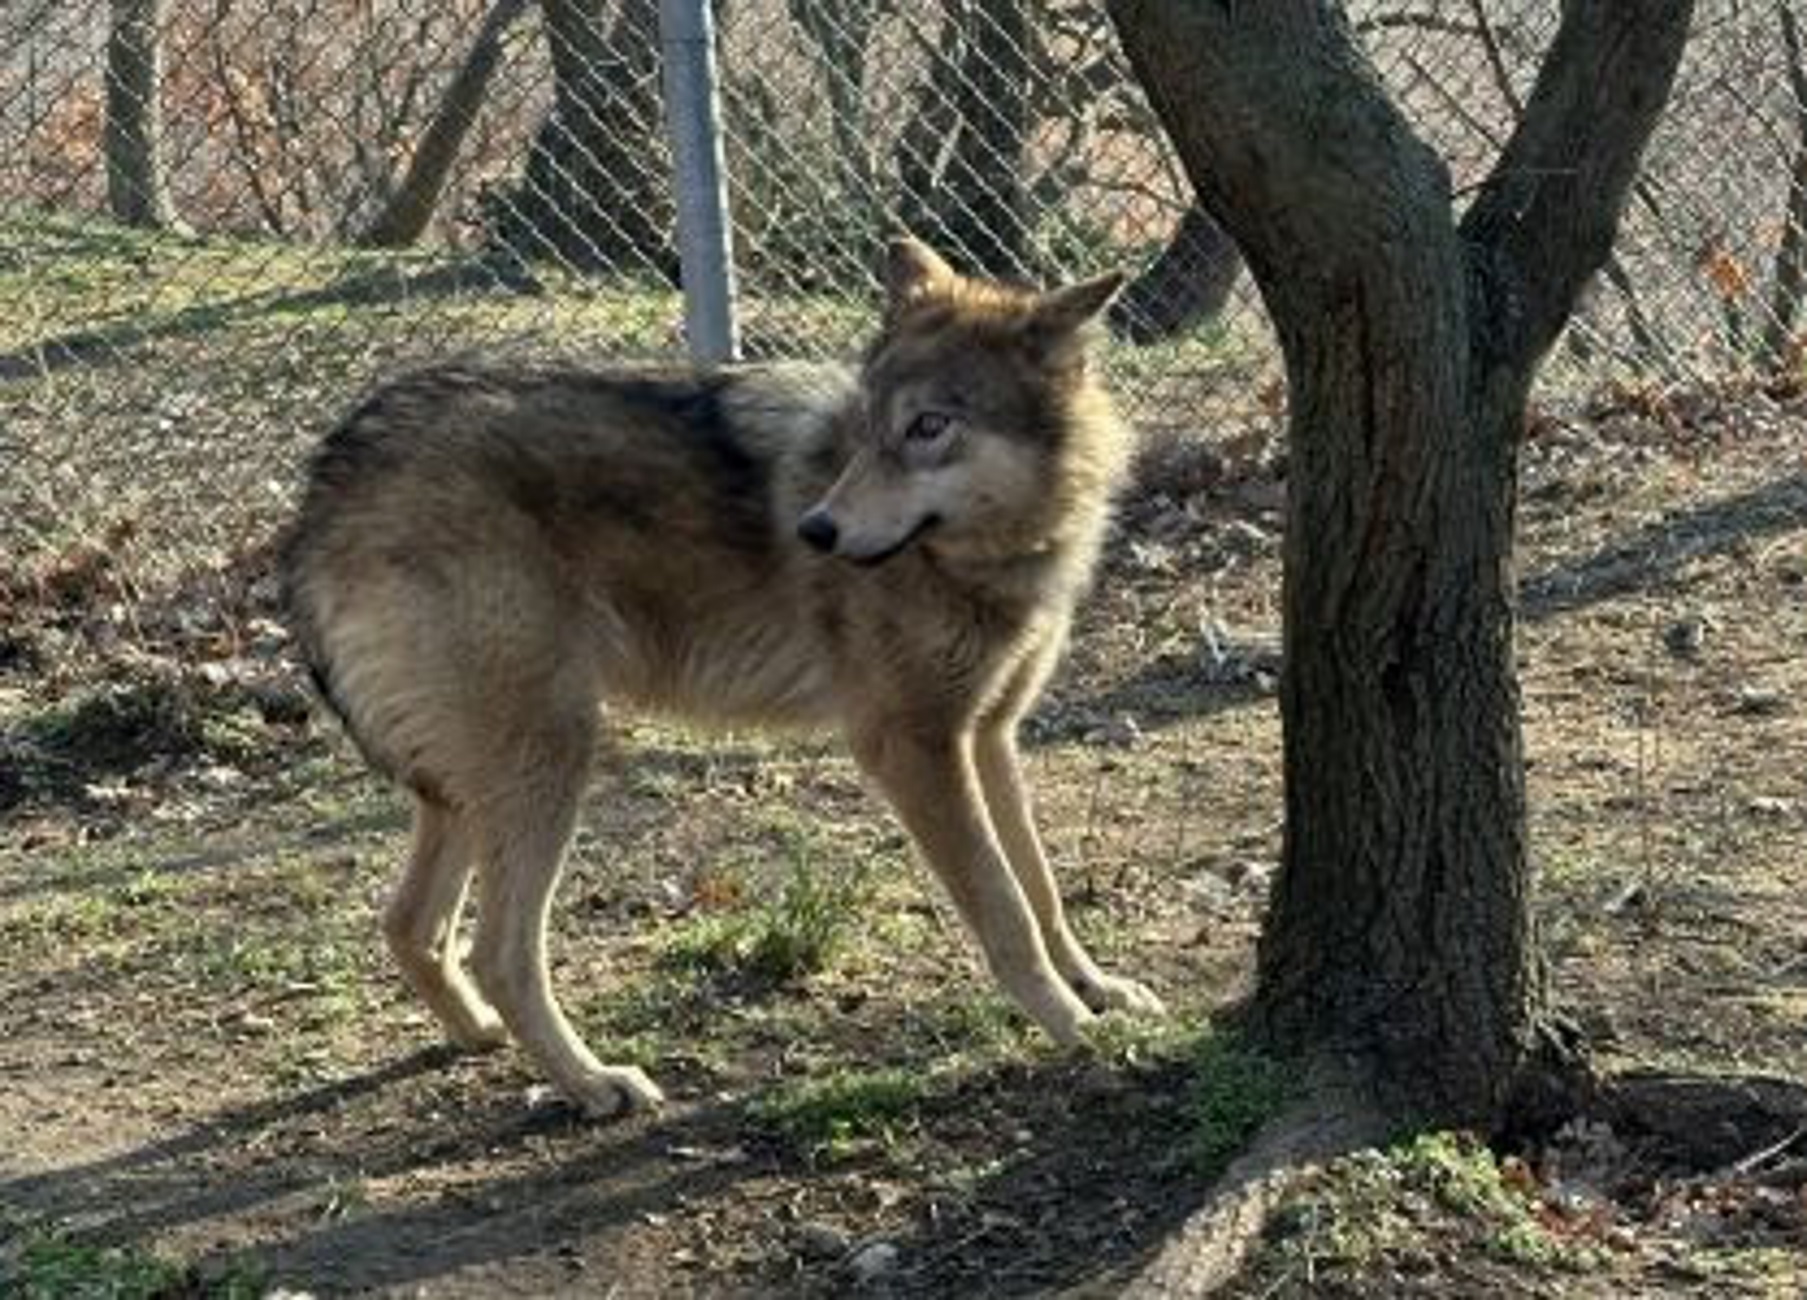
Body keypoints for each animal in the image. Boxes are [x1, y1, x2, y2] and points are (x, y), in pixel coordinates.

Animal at [281, 242, 1156, 1121]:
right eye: (867, 429)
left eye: (927, 427)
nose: (816, 530)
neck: (983, 557)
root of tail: (322, 487)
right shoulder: (910, 746)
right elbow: (1003, 905)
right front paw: (1071, 1027)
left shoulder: (986, 734)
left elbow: (1039, 889)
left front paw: (1097, 988)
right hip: (551, 756)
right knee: (497, 952)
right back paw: (594, 1083)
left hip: (476, 785)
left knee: (410, 925)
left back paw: (482, 1037)